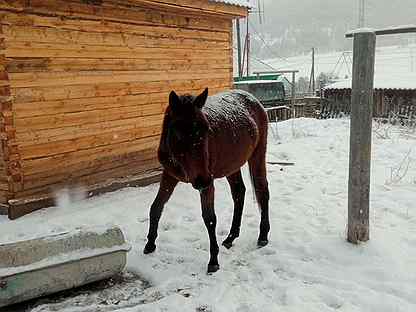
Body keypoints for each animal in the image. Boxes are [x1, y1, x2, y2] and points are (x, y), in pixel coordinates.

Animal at [145, 87, 272, 272]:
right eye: (178, 132)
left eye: (206, 130)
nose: (202, 180)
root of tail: (253, 99)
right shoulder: (169, 175)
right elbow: (156, 207)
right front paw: (149, 244)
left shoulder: (207, 184)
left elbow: (210, 219)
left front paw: (213, 260)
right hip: (231, 165)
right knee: (239, 193)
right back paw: (231, 237)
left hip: (257, 156)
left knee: (262, 190)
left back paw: (263, 236)